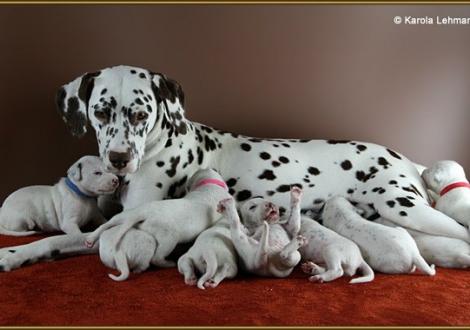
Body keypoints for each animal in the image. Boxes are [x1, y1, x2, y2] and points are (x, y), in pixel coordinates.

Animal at [0, 65, 466, 270]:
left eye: (140, 113)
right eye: (100, 111)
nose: (118, 158)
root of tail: (404, 157)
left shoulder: (116, 225)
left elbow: (55, 240)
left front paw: (16, 253)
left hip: (404, 207)